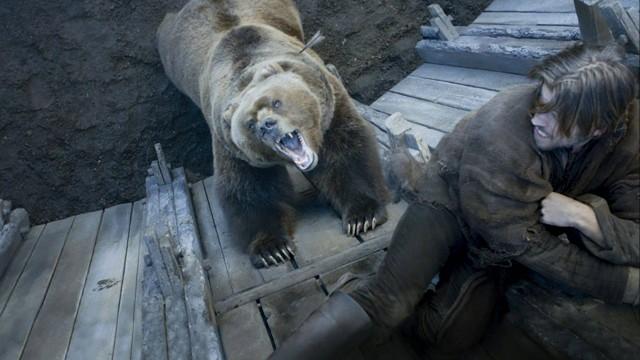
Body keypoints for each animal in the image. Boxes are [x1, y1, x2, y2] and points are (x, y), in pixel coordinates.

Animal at [159, 0, 390, 268]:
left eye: (276, 102)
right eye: (249, 123)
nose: (267, 125)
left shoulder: (329, 106)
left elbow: (345, 152)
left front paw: (362, 216)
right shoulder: (232, 146)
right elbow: (250, 190)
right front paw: (272, 249)